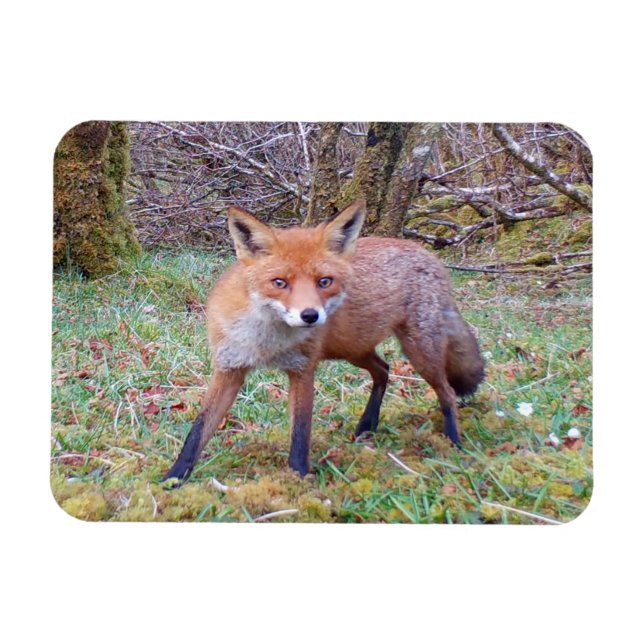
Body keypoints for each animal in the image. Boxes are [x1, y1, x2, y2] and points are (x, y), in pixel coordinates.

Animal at [163, 199, 484, 482]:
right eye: (280, 283)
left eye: (324, 282)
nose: (310, 316)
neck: (267, 341)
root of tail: (429, 256)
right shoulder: (229, 367)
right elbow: (198, 431)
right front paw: (173, 479)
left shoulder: (302, 369)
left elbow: (301, 431)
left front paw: (298, 479)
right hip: (354, 349)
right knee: (384, 370)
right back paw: (367, 426)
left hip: (418, 351)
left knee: (446, 392)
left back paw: (454, 442)